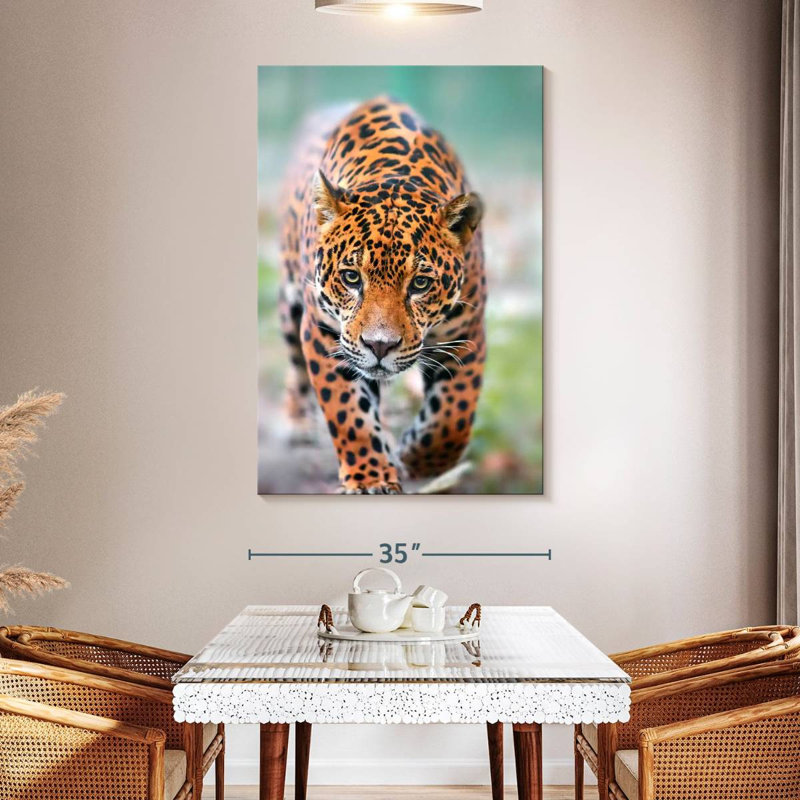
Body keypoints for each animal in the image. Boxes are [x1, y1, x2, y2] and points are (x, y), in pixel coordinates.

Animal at [278, 97, 487, 494]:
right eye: (351, 277)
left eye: (420, 284)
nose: (380, 346)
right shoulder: (324, 334)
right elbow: (348, 414)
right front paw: (370, 478)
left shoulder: (466, 335)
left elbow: (452, 417)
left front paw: (417, 459)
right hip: (289, 300)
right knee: (294, 362)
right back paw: (296, 422)